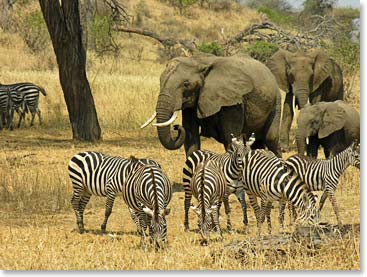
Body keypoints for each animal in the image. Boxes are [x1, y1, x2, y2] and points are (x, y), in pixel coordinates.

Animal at [142, 53, 284, 158]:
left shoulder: (232, 102)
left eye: (186, 84)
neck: (201, 62)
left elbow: (230, 138)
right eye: (160, 81)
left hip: (276, 101)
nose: (176, 127)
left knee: (271, 139)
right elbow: (191, 136)